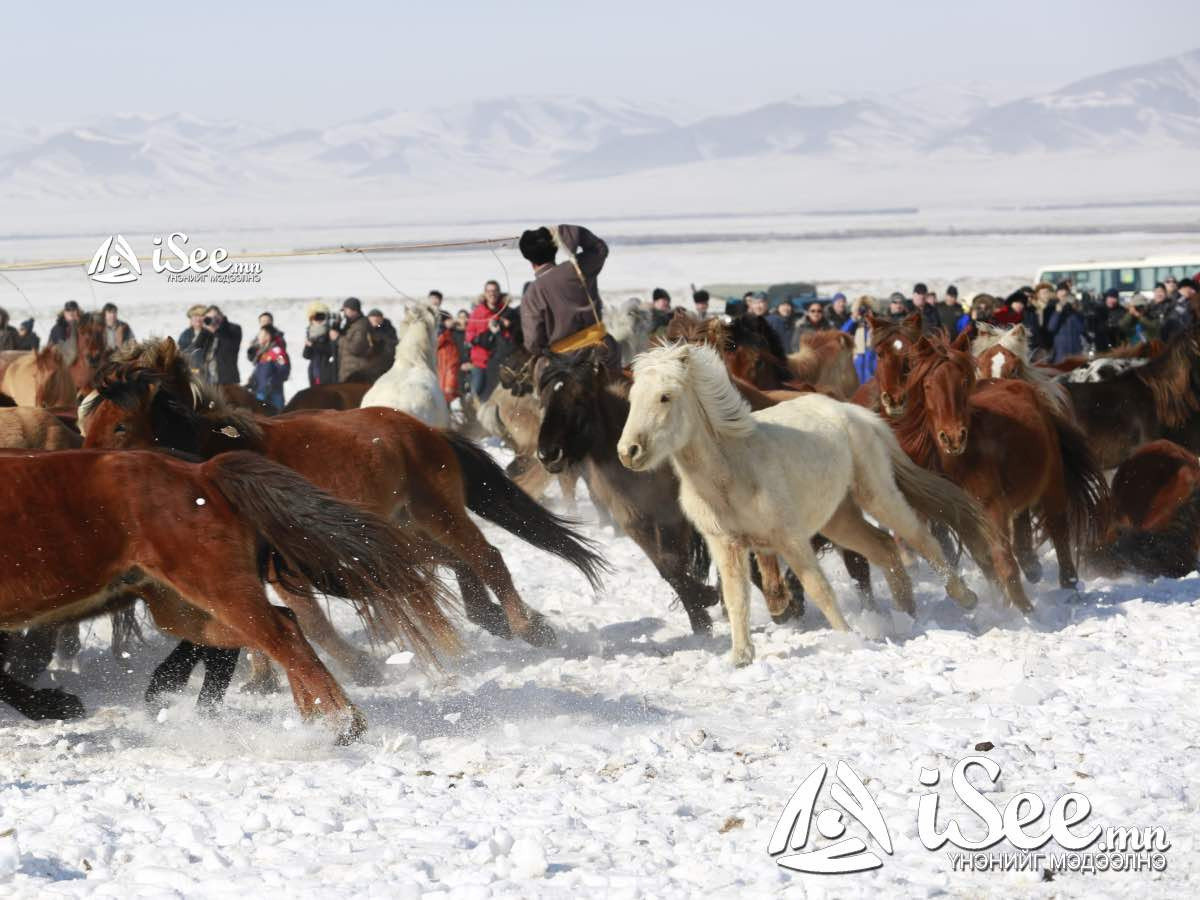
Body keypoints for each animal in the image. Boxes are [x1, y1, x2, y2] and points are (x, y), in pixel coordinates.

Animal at [0, 448, 458, 734]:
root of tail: (200, 473)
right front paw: (54, 705)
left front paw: (54, 706)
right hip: (181, 608)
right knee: (276, 631)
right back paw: (314, 717)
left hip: (214, 589)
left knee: (281, 635)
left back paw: (341, 726)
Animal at [619, 340, 993, 667]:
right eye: (632, 398)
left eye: (665, 397)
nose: (629, 452)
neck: (731, 471)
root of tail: (856, 413)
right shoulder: (728, 545)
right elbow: (736, 598)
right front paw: (741, 658)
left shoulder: (790, 538)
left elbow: (818, 588)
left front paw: (848, 638)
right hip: (839, 518)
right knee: (885, 547)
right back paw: (906, 616)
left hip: (878, 496)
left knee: (919, 537)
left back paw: (964, 597)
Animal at [892, 333, 1104, 614]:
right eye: (928, 385)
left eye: (963, 382)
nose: (953, 437)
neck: (959, 462)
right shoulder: (963, 517)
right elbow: (986, 562)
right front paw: (1003, 604)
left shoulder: (992, 507)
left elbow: (1003, 560)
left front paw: (1026, 612)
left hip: (1052, 484)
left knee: (1058, 530)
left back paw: (1068, 586)